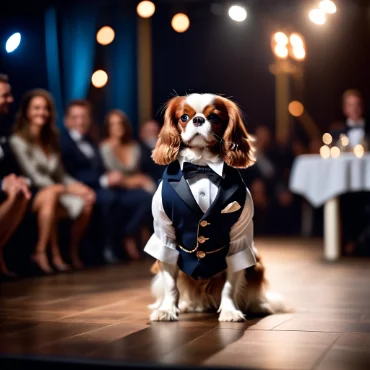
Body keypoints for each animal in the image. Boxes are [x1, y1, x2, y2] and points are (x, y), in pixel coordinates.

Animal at [144, 92, 284, 320]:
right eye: (184, 117)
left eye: (214, 118)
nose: (198, 120)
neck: (201, 165)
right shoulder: (165, 234)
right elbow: (171, 283)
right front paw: (167, 309)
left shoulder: (239, 239)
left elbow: (230, 285)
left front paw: (229, 311)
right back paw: (186, 305)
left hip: (256, 259)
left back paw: (259, 305)